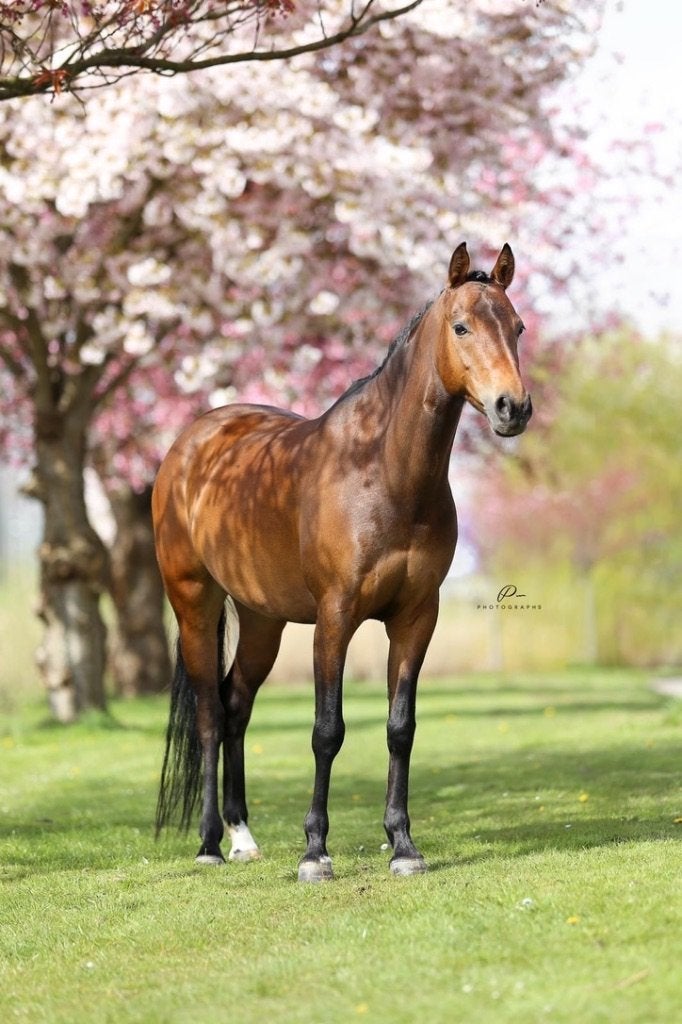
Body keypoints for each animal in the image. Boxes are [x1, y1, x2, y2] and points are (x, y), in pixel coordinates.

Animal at [152, 242, 532, 881]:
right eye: (461, 326)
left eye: (518, 327)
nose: (513, 408)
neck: (382, 470)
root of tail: (191, 443)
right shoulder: (334, 618)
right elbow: (327, 731)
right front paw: (315, 852)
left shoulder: (416, 618)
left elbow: (400, 728)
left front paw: (403, 846)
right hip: (195, 604)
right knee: (208, 714)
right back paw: (208, 844)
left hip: (263, 620)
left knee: (235, 706)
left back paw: (243, 837)